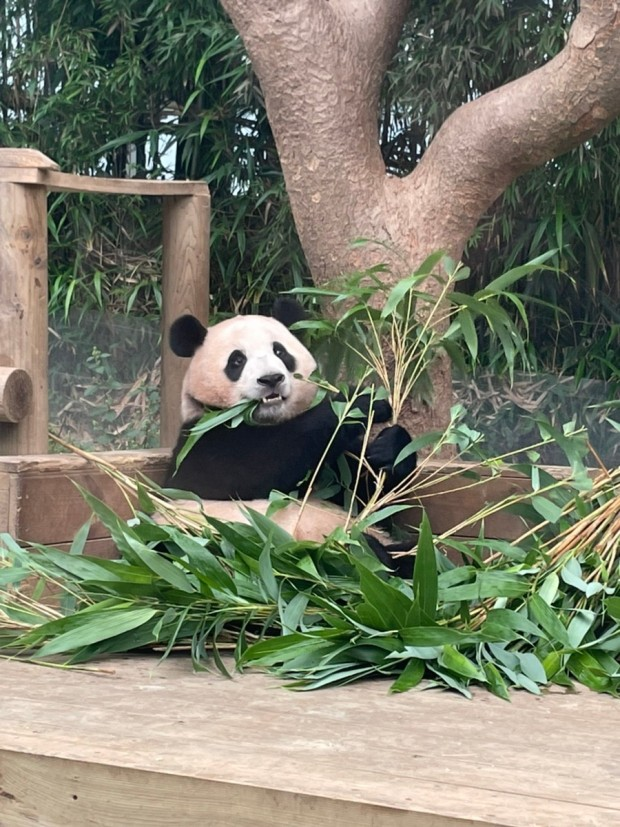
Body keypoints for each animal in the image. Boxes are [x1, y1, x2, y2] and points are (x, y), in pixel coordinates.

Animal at [163, 298, 416, 576]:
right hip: (212, 546)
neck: (266, 421)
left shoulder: (332, 472)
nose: (271, 379)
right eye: (237, 360)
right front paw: (358, 400)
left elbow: (368, 498)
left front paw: (390, 447)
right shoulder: (200, 439)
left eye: (280, 352)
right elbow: (256, 465)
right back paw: (361, 554)